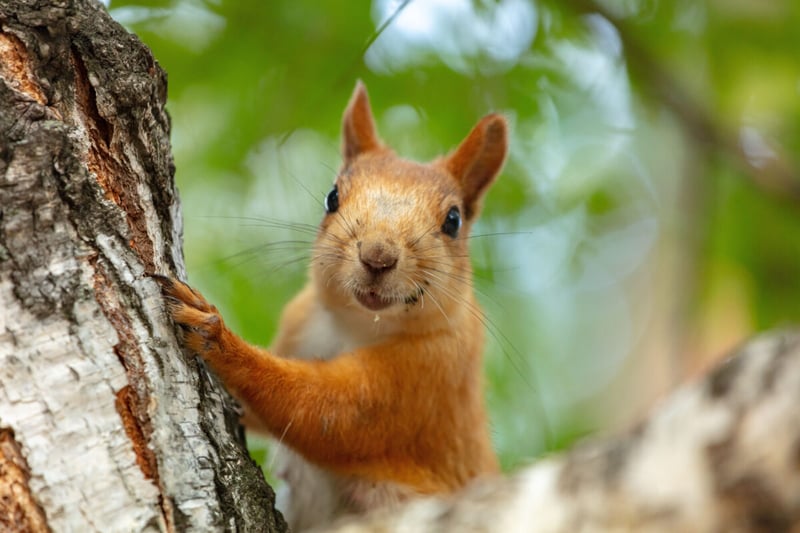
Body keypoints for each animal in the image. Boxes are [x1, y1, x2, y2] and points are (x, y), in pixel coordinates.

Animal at [158, 81, 508, 530]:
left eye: (453, 220)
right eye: (332, 196)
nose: (378, 255)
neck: (356, 324)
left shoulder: (433, 369)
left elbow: (330, 415)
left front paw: (216, 335)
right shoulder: (298, 322)